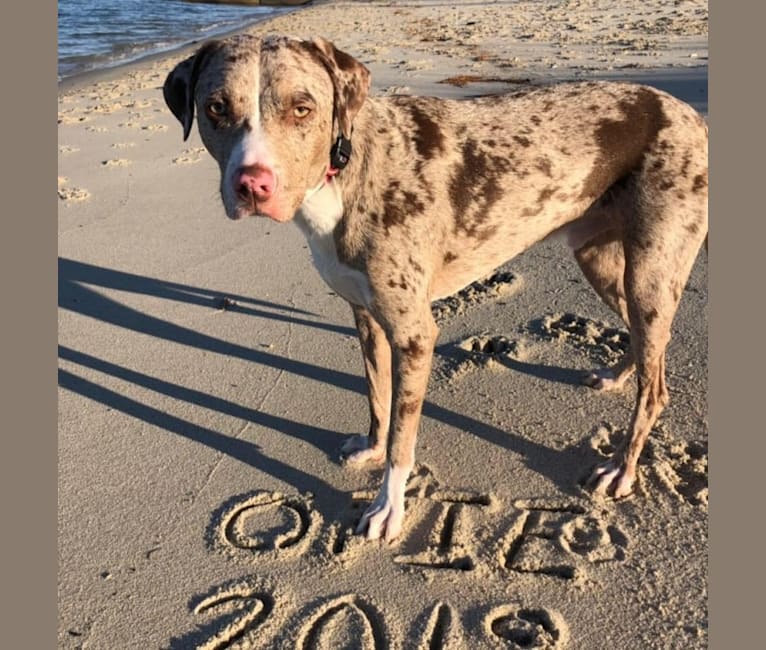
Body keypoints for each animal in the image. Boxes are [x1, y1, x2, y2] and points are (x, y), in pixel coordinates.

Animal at [165, 35, 712, 540]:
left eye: (302, 108)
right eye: (215, 108)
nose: (252, 185)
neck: (346, 171)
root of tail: (691, 115)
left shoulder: (414, 334)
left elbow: (403, 439)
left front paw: (388, 507)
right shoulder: (366, 318)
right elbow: (378, 396)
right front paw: (371, 446)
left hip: (650, 272)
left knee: (655, 387)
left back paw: (622, 467)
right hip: (600, 257)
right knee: (649, 345)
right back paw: (618, 374)